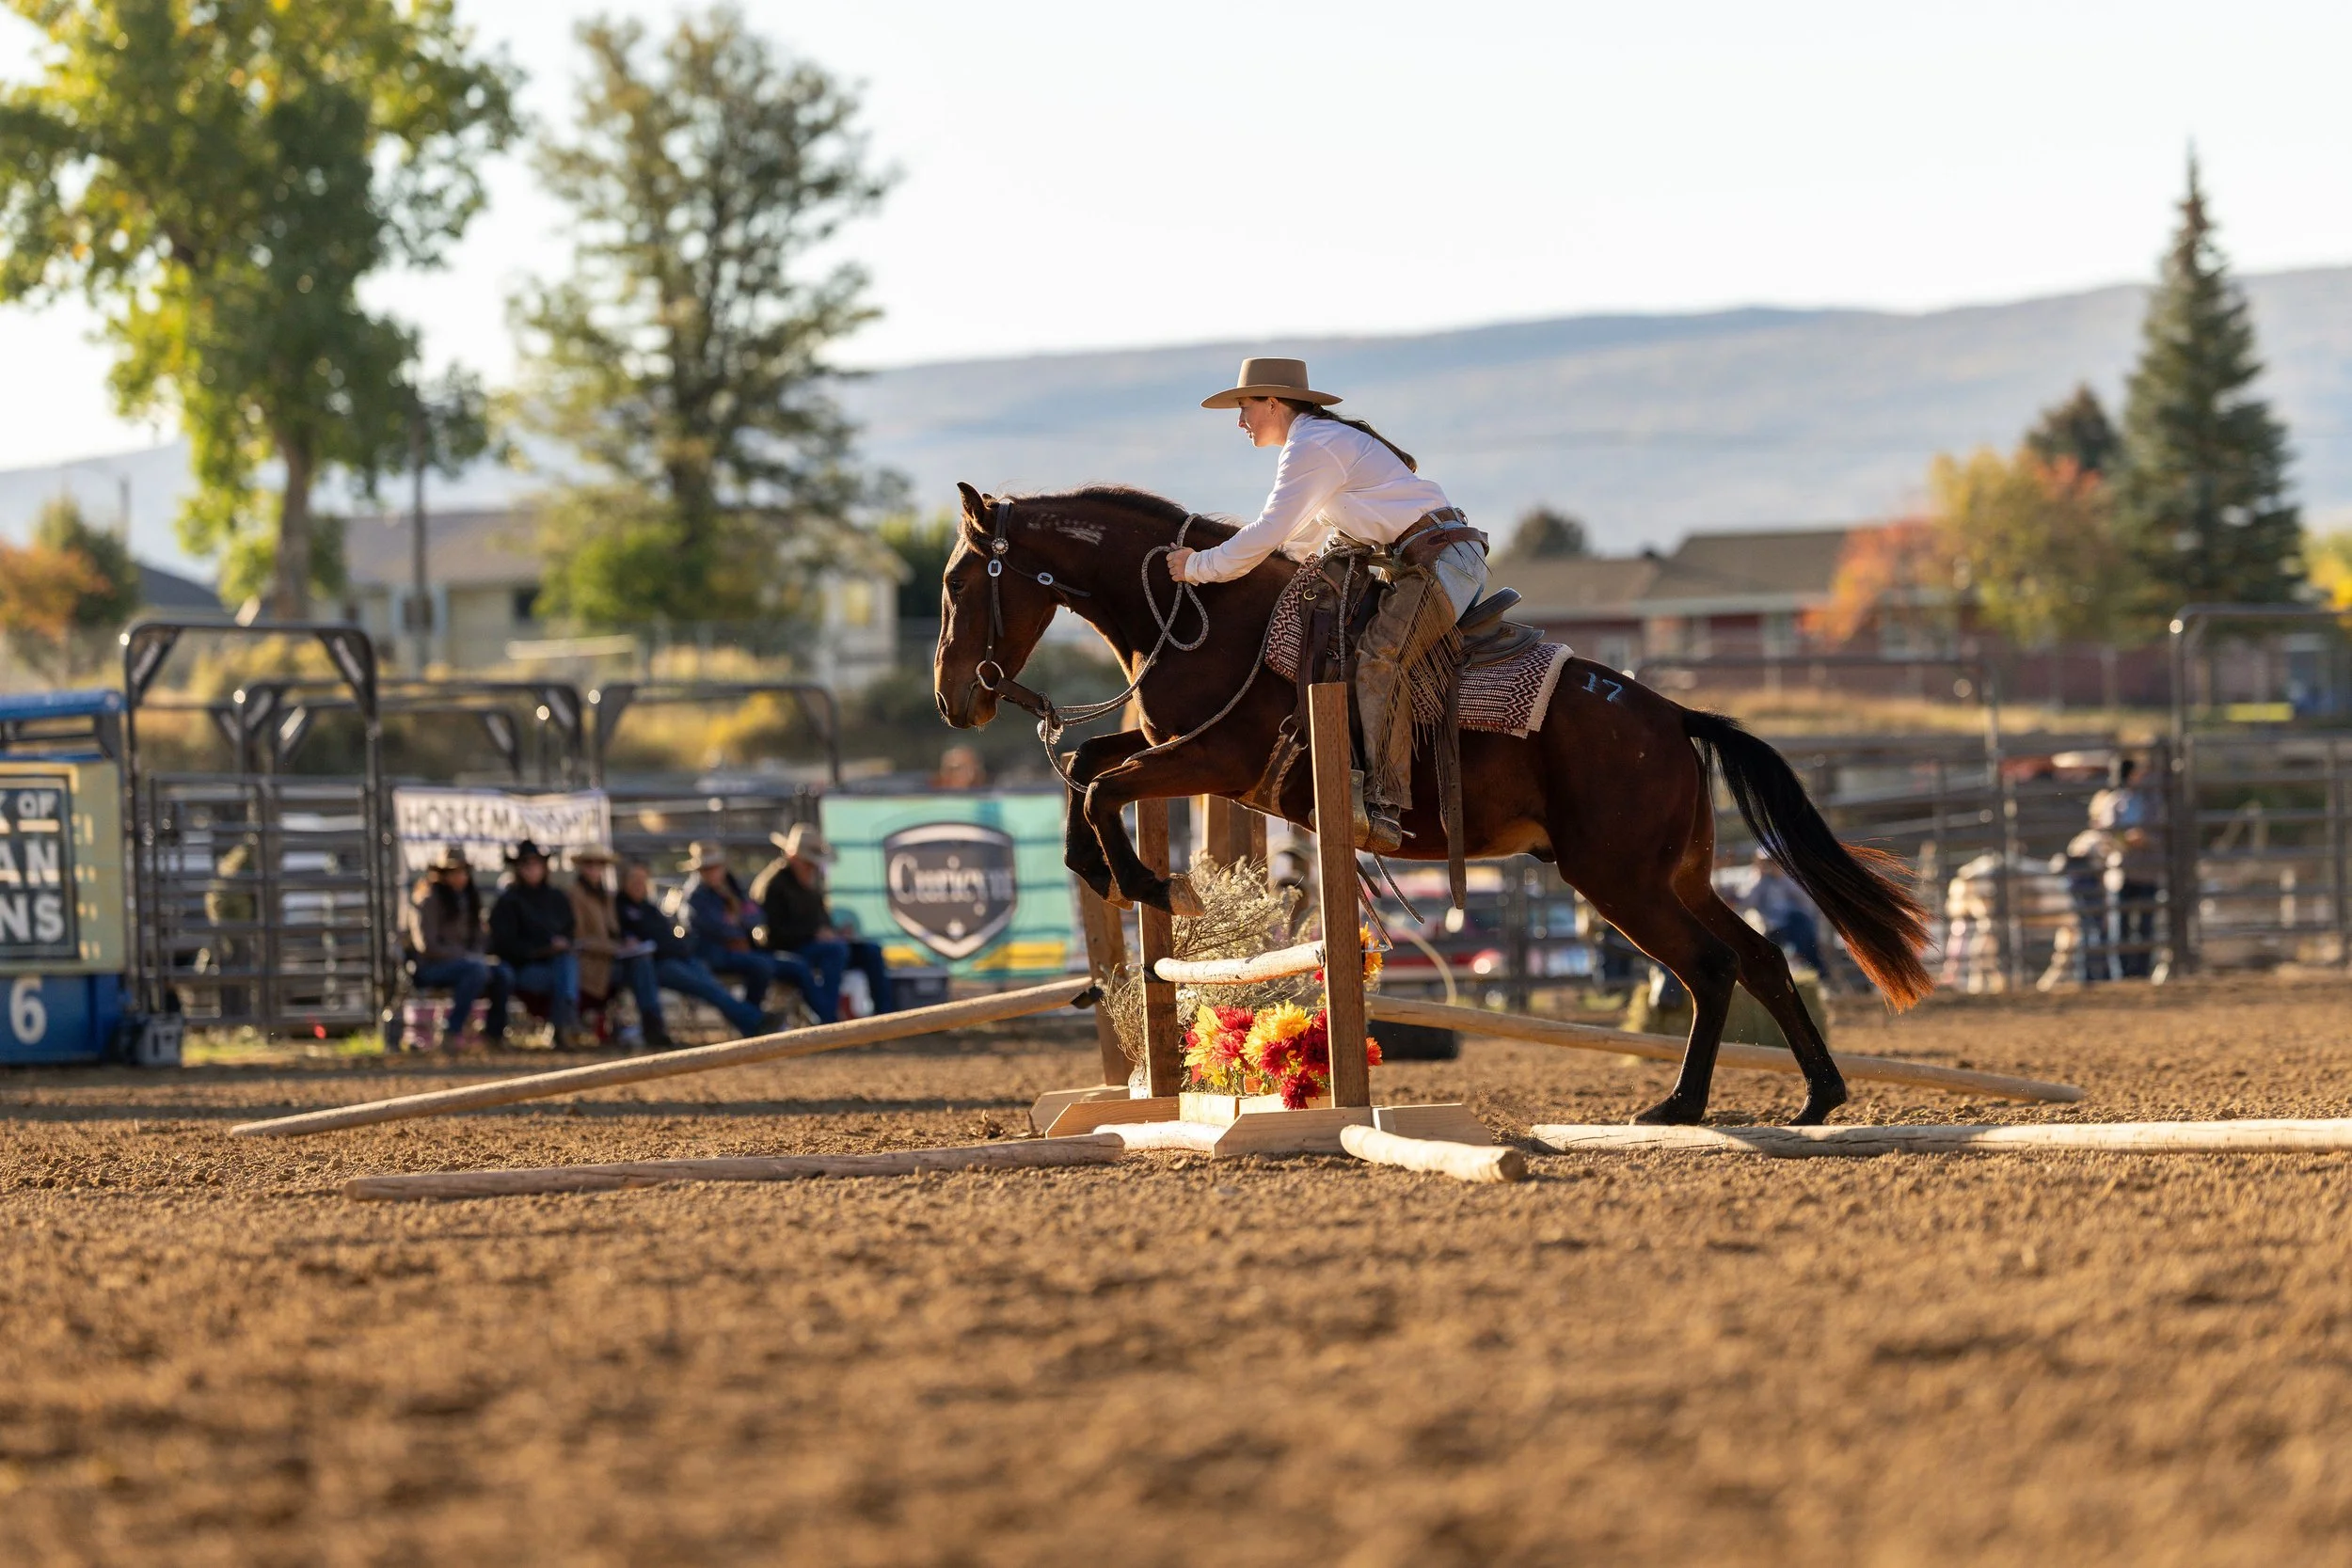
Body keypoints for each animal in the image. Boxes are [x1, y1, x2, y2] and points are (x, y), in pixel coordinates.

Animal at [932, 481, 1931, 1125]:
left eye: (953, 582)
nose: (952, 702)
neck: (1203, 617)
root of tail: (1673, 714)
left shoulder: (1212, 758)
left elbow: (1102, 780)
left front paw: (1151, 882)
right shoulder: (1176, 752)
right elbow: (1089, 765)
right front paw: (1098, 866)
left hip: (1621, 880)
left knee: (1712, 967)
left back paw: (1680, 1105)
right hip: (1677, 875)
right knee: (1760, 956)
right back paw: (1818, 1097)